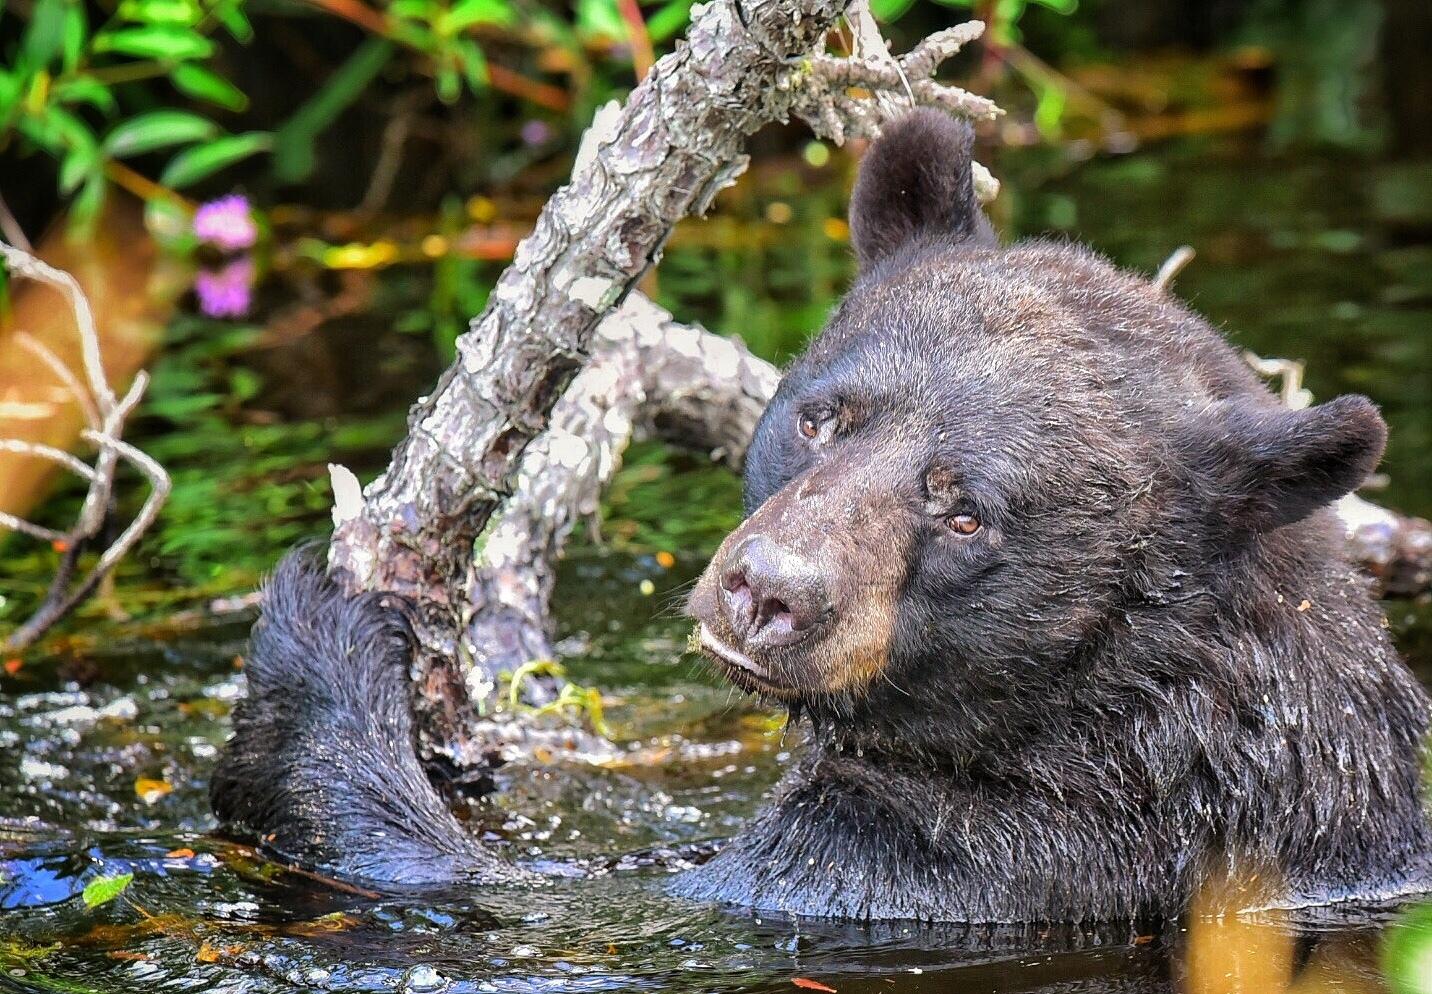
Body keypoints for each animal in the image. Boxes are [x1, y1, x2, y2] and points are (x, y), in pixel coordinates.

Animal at [211, 109, 1432, 923]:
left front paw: (323, 628)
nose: (767, 591)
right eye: (821, 415)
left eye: (967, 510)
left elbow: (543, 897)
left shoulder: (999, 854)